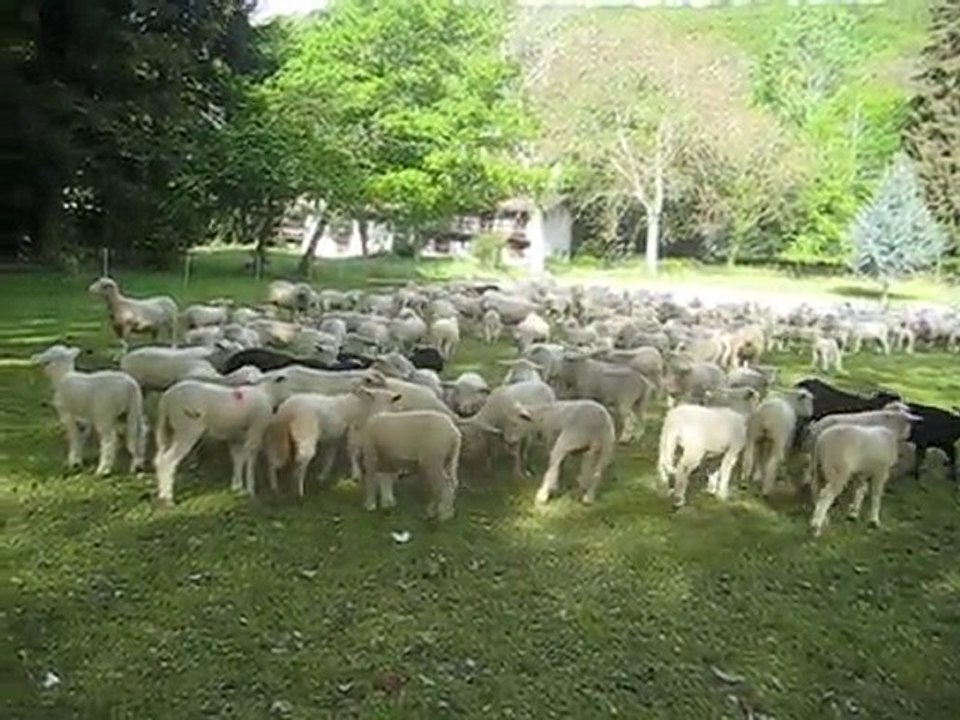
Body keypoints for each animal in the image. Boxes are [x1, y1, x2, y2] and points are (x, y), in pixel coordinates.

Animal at [31, 344, 145, 476]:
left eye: (48, 359)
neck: (62, 376)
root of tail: (130, 385)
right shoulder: (84, 419)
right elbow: (82, 437)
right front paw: (77, 459)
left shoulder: (68, 415)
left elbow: (74, 436)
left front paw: (73, 461)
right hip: (133, 411)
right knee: (139, 434)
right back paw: (137, 464)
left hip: (105, 414)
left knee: (110, 439)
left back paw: (103, 469)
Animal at [153, 373, 287, 504]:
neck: (268, 393)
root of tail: (166, 398)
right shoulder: (256, 429)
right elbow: (250, 458)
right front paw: (250, 491)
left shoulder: (237, 437)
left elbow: (238, 459)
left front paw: (237, 487)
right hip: (187, 428)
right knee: (168, 460)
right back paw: (168, 498)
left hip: (168, 429)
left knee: (159, 459)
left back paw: (162, 494)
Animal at [262, 386, 403, 496]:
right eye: (374, 398)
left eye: (391, 401)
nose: (383, 414)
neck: (363, 407)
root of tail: (288, 409)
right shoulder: (354, 431)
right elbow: (353, 452)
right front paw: (356, 475)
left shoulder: (333, 438)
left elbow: (330, 456)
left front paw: (323, 476)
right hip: (305, 430)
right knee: (302, 456)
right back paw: (299, 490)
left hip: (276, 436)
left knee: (272, 460)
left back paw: (274, 487)